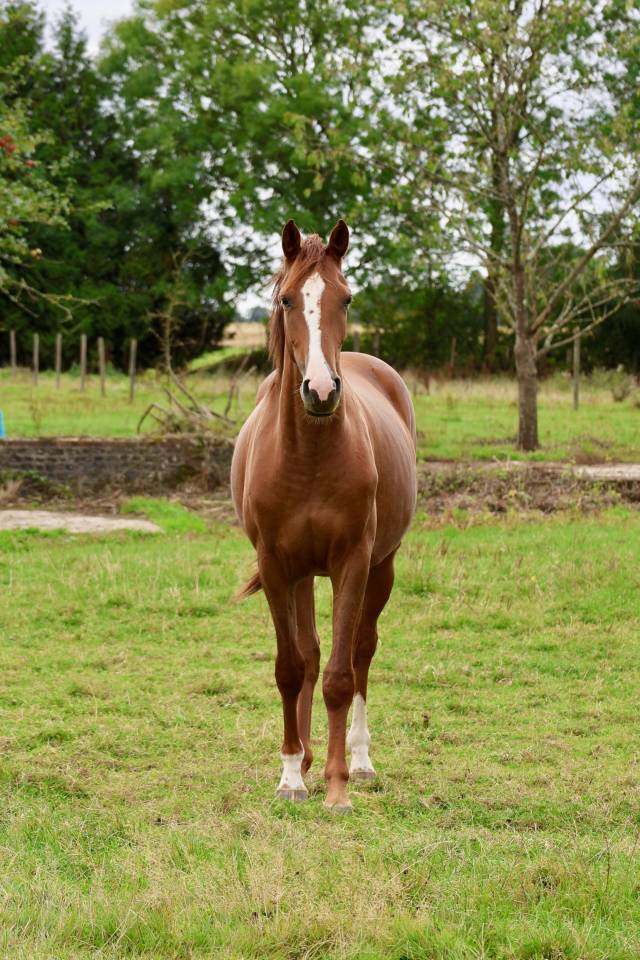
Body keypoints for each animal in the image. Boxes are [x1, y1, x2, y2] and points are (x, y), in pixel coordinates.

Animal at [231, 219, 416, 811]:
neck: (308, 455)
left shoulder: (352, 562)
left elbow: (339, 673)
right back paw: (307, 760)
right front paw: (292, 774)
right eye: (287, 299)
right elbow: (292, 667)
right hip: (301, 575)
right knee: (310, 654)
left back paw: (357, 761)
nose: (320, 390)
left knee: (360, 653)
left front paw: (337, 787)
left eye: (346, 297)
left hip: (381, 566)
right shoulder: (276, 566)